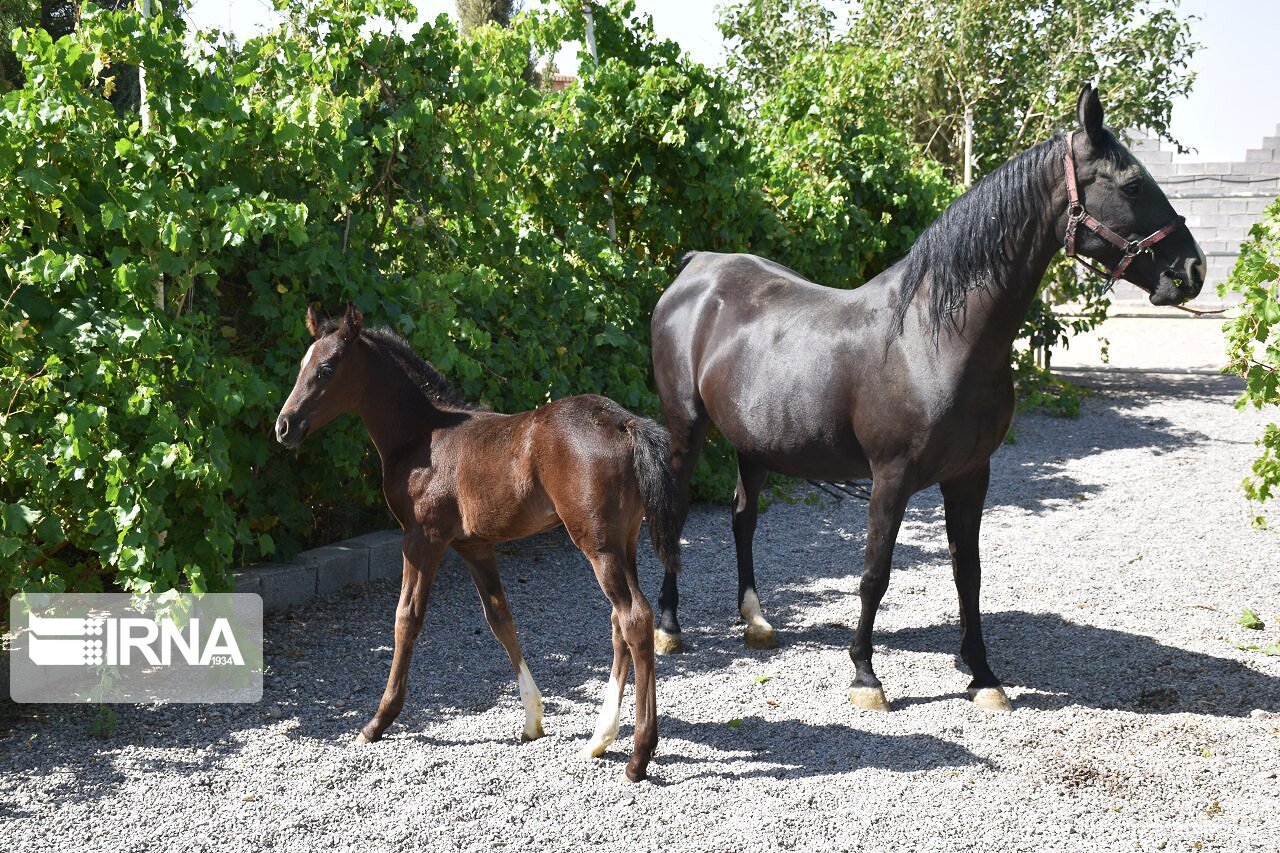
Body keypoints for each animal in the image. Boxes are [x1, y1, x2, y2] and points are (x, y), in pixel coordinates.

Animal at [276, 303, 686, 778]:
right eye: (301, 364)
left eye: (327, 368)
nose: (284, 426)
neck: (423, 434)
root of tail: (625, 422)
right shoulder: (474, 545)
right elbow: (499, 618)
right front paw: (532, 719)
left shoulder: (423, 537)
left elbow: (406, 619)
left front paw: (377, 721)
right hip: (624, 541)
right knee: (620, 622)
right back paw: (600, 739)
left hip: (598, 544)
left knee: (634, 618)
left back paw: (639, 755)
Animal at [655, 86, 1203, 712]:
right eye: (1132, 185)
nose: (1193, 269)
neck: (934, 337)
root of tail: (696, 270)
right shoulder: (890, 478)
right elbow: (875, 574)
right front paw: (865, 676)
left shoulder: (970, 475)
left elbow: (970, 574)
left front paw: (984, 676)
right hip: (686, 428)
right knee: (675, 513)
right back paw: (668, 628)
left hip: (755, 442)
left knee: (742, 517)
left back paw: (756, 622)